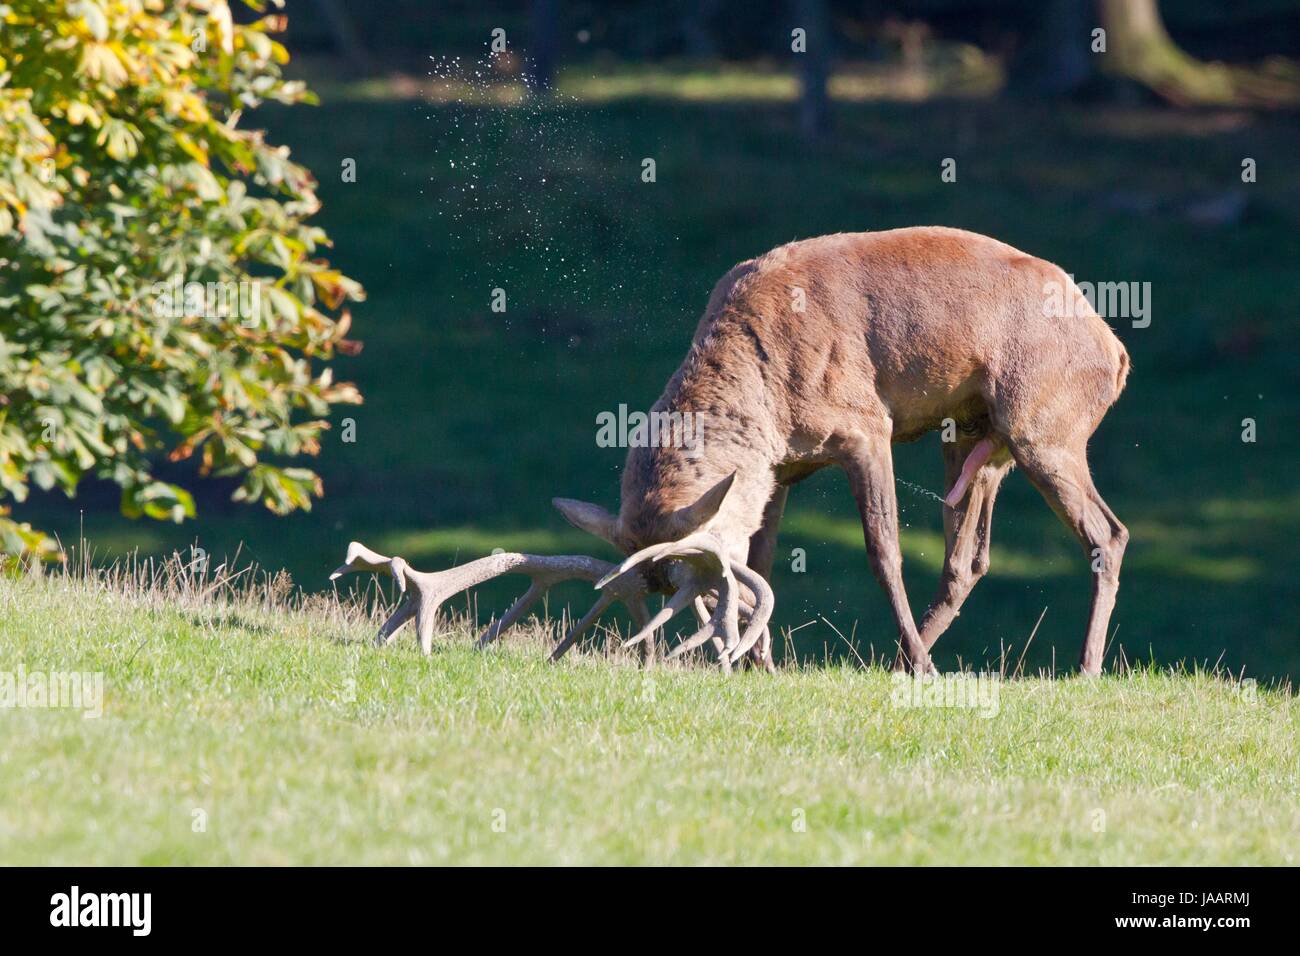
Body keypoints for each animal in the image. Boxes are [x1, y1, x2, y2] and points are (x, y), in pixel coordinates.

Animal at [332, 225, 1128, 676]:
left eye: (691, 582)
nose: (666, 648)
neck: (770, 391)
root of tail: (1117, 351)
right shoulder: (779, 470)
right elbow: (766, 561)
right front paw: (760, 664)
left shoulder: (864, 426)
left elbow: (882, 552)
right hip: (973, 437)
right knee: (970, 559)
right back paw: (909, 657)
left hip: (1044, 423)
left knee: (1108, 533)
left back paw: (1072, 668)